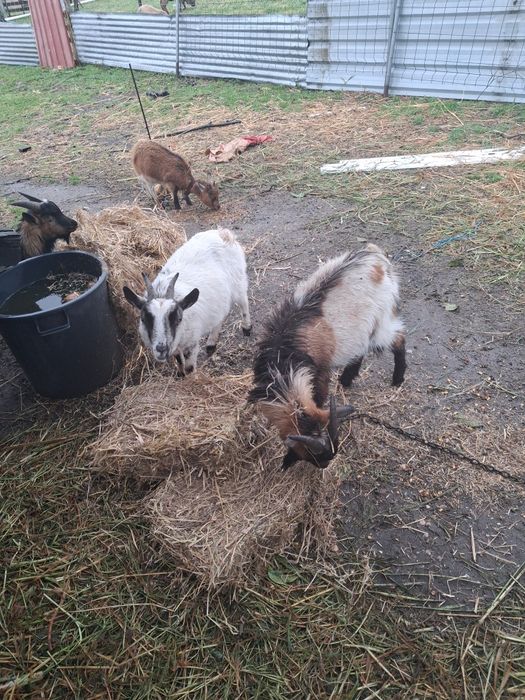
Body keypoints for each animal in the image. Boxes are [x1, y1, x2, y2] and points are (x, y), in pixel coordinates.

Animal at [123, 228, 251, 371]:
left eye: (178, 319)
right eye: (144, 319)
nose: (161, 349)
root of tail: (223, 233)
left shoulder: (191, 343)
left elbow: (189, 367)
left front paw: (189, 375)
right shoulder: (174, 346)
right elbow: (178, 359)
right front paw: (180, 373)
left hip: (238, 282)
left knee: (243, 301)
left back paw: (247, 327)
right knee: (221, 314)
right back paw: (211, 343)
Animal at [248, 244, 406, 471]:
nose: (324, 465)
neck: (285, 355)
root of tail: (376, 255)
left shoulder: (320, 372)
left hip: (382, 322)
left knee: (399, 339)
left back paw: (397, 378)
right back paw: (347, 379)